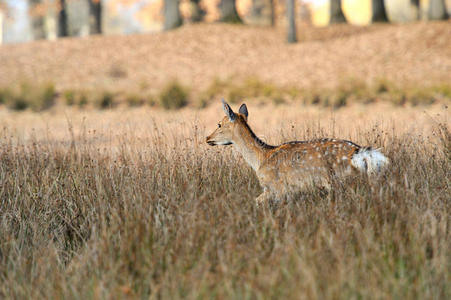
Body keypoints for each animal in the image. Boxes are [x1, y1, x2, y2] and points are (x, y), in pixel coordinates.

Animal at [207, 99, 390, 205]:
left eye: (219, 124)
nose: (208, 138)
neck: (261, 159)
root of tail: (358, 152)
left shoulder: (278, 188)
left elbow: (257, 202)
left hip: (341, 180)